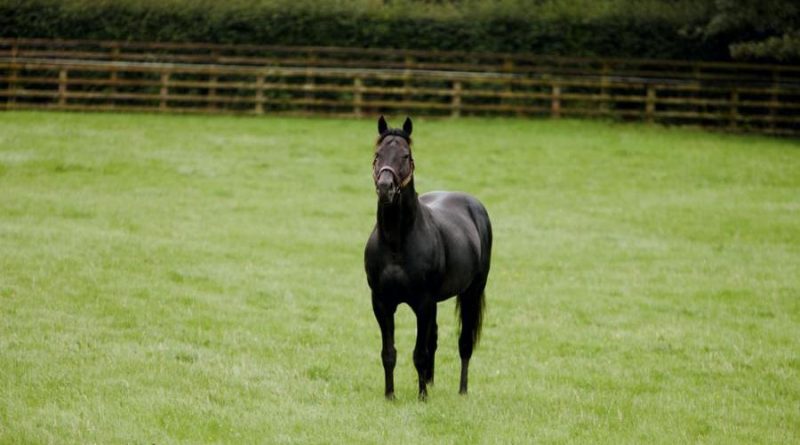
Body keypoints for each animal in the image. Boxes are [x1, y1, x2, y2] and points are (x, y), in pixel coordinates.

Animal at [364, 114, 490, 398]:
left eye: (406, 155)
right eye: (377, 154)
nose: (386, 188)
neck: (397, 243)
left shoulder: (423, 303)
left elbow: (419, 353)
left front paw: (422, 397)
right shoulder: (382, 303)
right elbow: (389, 353)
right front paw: (390, 396)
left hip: (472, 292)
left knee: (464, 343)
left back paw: (461, 391)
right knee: (433, 339)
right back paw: (430, 382)